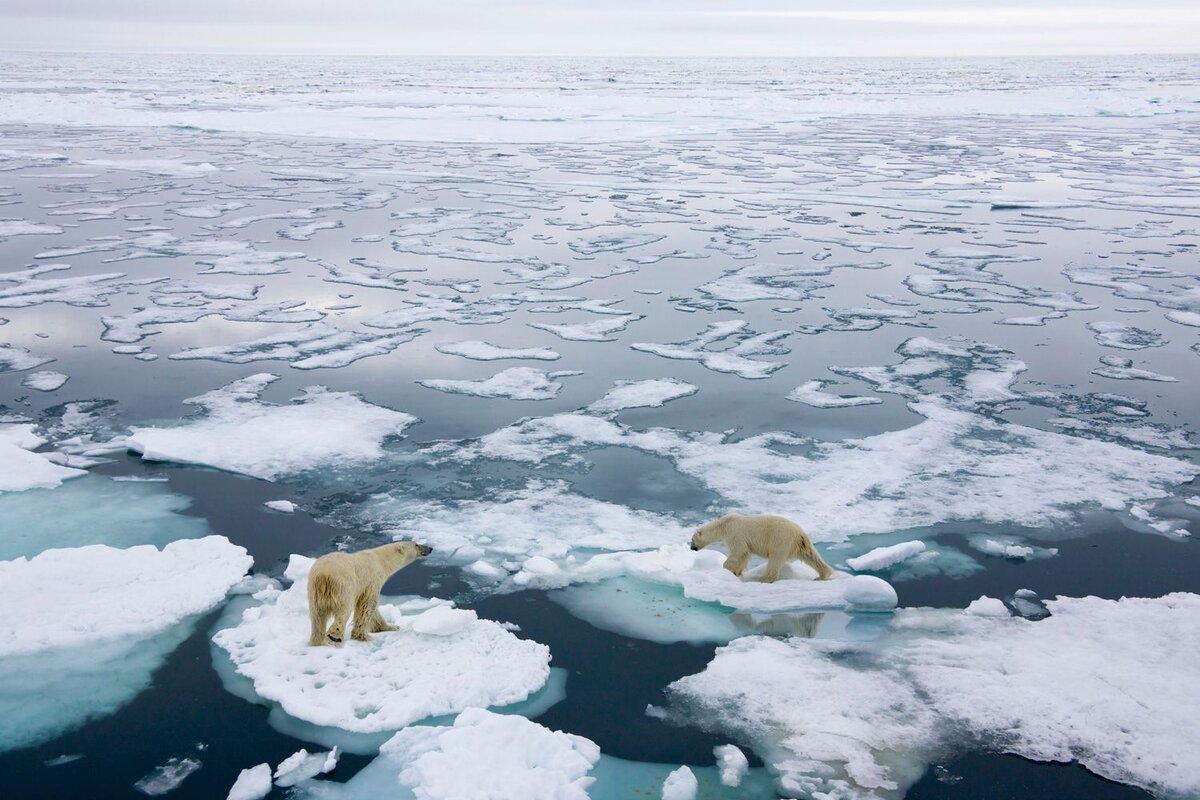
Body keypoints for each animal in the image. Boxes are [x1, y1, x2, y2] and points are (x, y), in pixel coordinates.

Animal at [691, 515, 830, 585]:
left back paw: (764, 579)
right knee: (811, 557)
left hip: (781, 540)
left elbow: (738, 552)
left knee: (775, 559)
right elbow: (744, 555)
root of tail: (800, 533)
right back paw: (822, 575)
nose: (692, 548)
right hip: (801, 545)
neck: (724, 524)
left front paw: (728, 569)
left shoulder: (735, 533)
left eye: (692, 540)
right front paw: (737, 572)